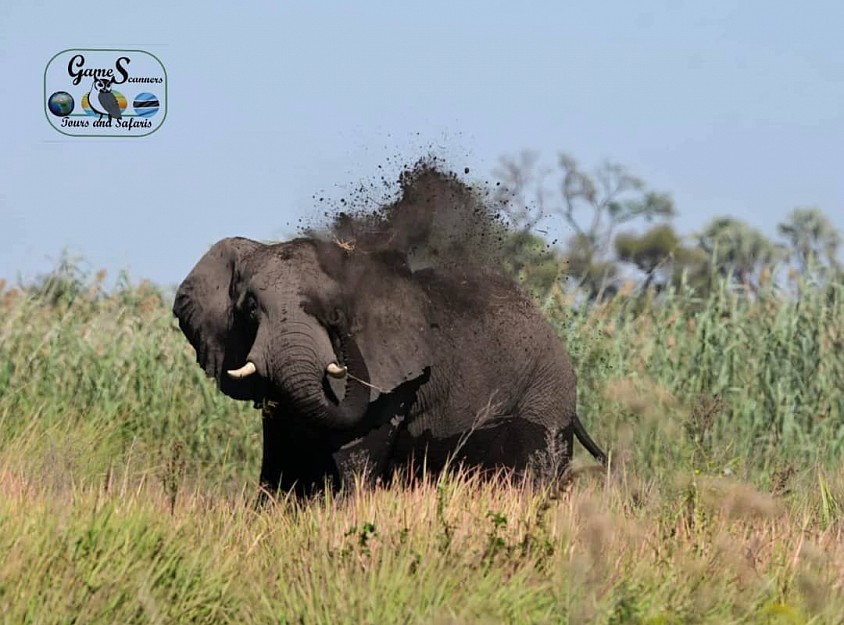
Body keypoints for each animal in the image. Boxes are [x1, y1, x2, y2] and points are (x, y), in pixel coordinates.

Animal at [173, 235, 607, 499]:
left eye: (336, 313)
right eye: (249, 308)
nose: (342, 337)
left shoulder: (391, 379)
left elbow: (358, 451)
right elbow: (281, 454)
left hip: (545, 392)